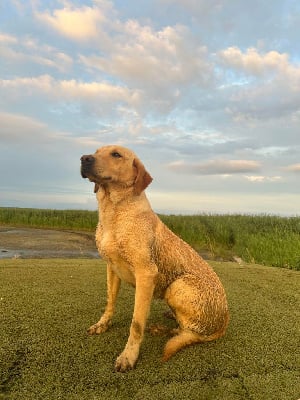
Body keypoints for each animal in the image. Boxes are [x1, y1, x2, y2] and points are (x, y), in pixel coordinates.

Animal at [81, 146, 229, 372]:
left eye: (116, 154)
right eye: (97, 151)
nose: (84, 158)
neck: (114, 212)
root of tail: (224, 323)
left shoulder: (146, 275)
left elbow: (136, 323)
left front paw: (129, 356)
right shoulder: (111, 268)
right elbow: (110, 302)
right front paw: (102, 324)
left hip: (178, 285)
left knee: (188, 334)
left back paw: (162, 329)